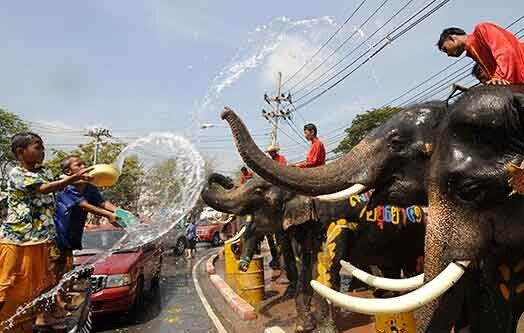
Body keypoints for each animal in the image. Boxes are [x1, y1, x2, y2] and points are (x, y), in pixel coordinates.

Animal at [201, 171, 426, 330]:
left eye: (259, 192)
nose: (243, 265)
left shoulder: (333, 224)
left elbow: (323, 272)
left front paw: (323, 329)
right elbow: (306, 270)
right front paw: (304, 327)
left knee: (412, 265)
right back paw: (383, 295)